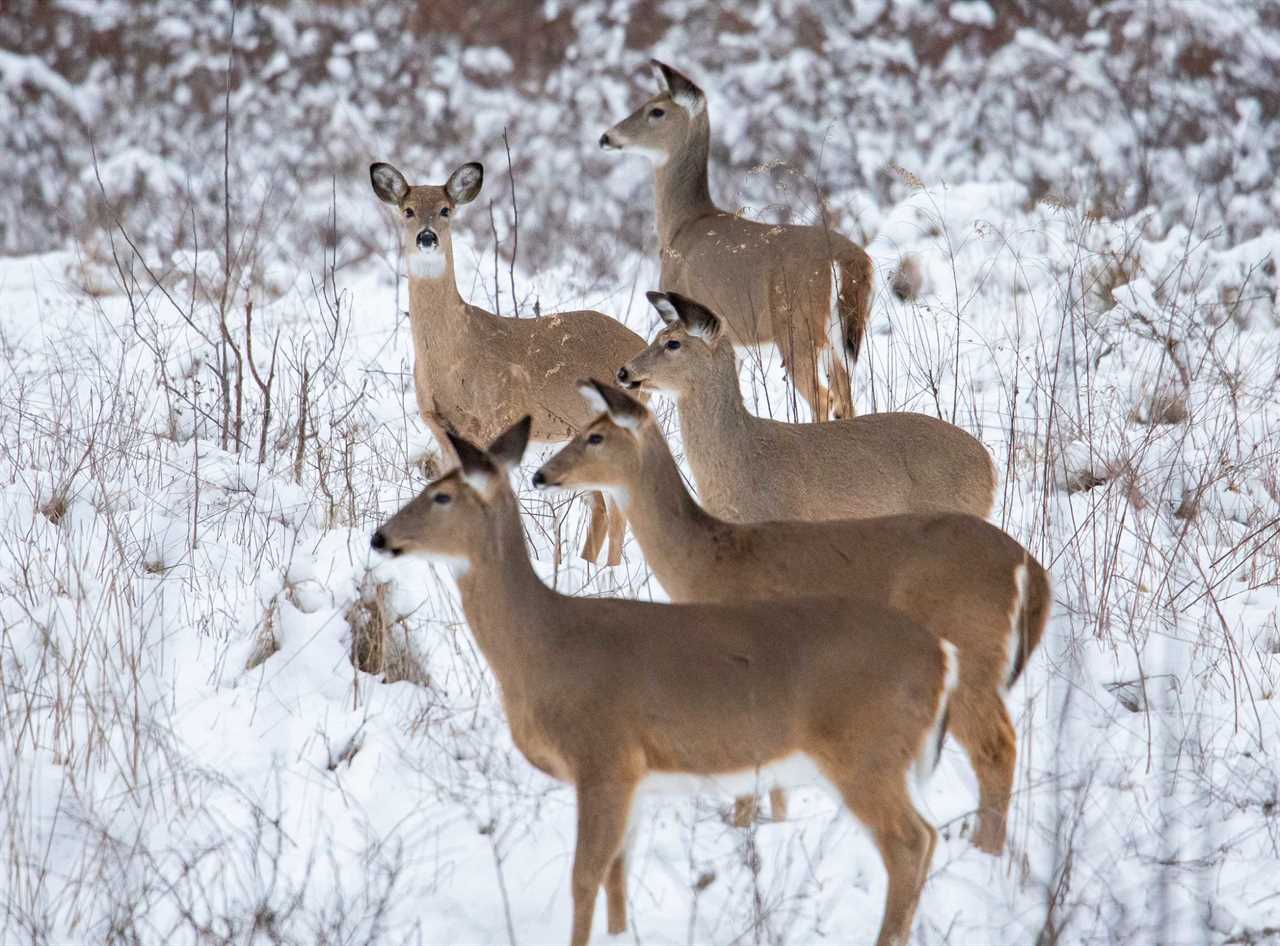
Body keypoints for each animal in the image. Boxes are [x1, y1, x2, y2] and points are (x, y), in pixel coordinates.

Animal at [371, 417, 962, 946]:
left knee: (911, 842)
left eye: (441, 495)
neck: (545, 645)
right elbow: (617, 875)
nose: (379, 536)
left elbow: (584, 876)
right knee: (927, 839)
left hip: (865, 752)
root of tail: (940, 657)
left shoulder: (604, 755)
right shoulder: (635, 776)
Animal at [373, 159, 650, 565]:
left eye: (445, 209)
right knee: (604, 506)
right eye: (407, 210)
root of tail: (642, 343)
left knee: (614, 508)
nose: (426, 237)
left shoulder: (494, 418)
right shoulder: (441, 429)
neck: (454, 355)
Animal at [535, 381, 1044, 855]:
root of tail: (1029, 569)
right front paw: (774, 820)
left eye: (596, 436)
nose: (541, 474)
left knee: (997, 747)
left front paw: (743, 825)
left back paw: (985, 848)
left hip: (971, 650)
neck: (705, 559)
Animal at [599, 55, 870, 417]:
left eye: (655, 110)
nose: (606, 137)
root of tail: (848, 259)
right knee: (845, 399)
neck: (684, 224)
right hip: (841, 338)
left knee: (823, 397)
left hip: (798, 327)